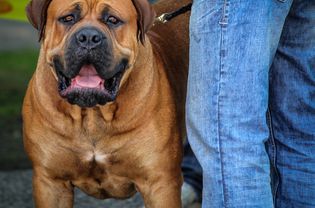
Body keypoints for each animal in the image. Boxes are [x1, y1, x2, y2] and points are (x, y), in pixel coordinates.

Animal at [22, 0, 190, 207]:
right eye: (68, 18)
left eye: (112, 20)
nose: (88, 37)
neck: (92, 114)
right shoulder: (51, 184)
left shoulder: (160, 183)